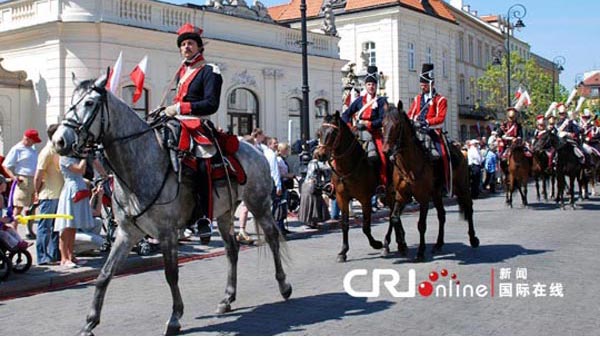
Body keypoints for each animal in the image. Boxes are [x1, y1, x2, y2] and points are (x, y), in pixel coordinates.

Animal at [52, 75, 292, 334]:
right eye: (71, 102)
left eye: (89, 103)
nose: (58, 140)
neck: (141, 164)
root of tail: (255, 148)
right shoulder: (127, 233)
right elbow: (105, 274)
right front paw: (89, 322)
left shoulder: (166, 233)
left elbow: (171, 274)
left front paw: (175, 317)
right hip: (225, 212)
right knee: (232, 250)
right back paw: (227, 298)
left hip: (259, 204)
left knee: (272, 238)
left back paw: (284, 285)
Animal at [314, 111, 384, 262]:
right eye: (319, 132)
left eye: (334, 132)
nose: (319, 155)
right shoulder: (342, 198)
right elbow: (345, 225)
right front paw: (343, 252)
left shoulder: (365, 199)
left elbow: (365, 226)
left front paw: (376, 244)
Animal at [382, 105, 480, 260]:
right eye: (383, 125)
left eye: (397, 125)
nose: (387, 151)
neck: (408, 165)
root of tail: (462, 152)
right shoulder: (401, 195)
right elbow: (394, 218)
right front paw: (401, 245)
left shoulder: (423, 197)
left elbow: (421, 224)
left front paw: (420, 251)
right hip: (436, 193)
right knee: (442, 215)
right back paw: (438, 244)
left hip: (462, 186)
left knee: (469, 208)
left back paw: (473, 238)